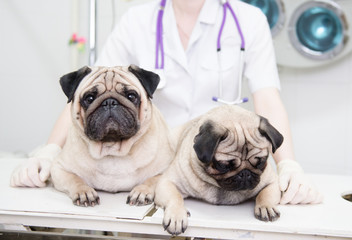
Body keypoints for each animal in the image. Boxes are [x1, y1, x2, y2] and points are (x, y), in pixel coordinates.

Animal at [50, 65, 175, 206]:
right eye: (89, 98)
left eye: (131, 96)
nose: (109, 102)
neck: (112, 148)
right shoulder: (59, 169)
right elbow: (75, 179)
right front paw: (84, 192)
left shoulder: (166, 170)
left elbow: (152, 180)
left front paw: (141, 191)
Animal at [132, 106, 284, 235]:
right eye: (223, 165)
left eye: (261, 162)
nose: (245, 174)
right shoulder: (168, 183)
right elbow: (175, 198)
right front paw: (177, 216)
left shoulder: (273, 182)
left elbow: (265, 195)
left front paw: (266, 207)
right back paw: (142, 191)